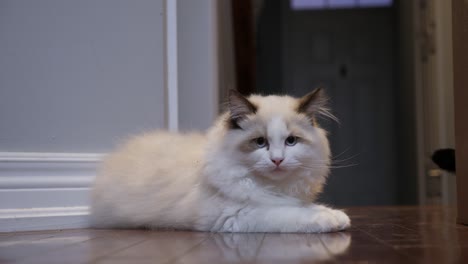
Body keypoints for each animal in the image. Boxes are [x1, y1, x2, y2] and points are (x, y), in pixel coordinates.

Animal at [90, 89, 352, 233]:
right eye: (260, 142)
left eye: (291, 141)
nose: (277, 160)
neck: (274, 188)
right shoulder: (241, 215)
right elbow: (291, 215)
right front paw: (326, 220)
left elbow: (306, 207)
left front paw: (337, 216)